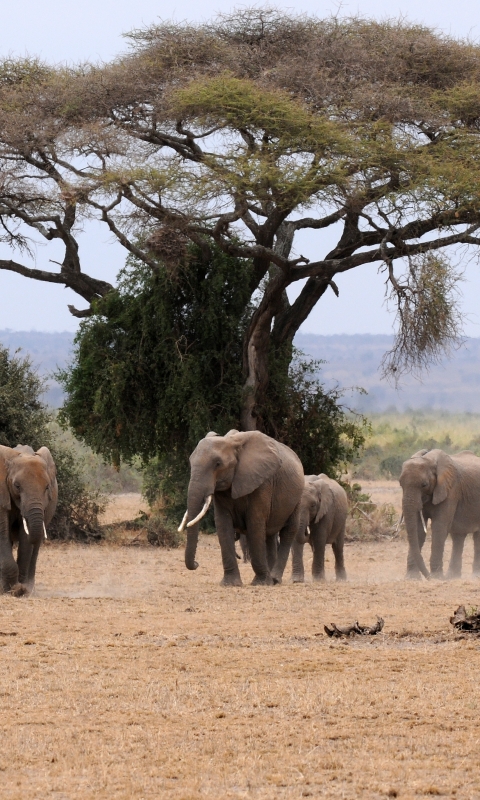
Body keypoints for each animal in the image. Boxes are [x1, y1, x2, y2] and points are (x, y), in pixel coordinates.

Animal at [0, 444, 58, 592]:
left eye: (47, 487)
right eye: (17, 486)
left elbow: (25, 538)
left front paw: (21, 590)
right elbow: (2, 532)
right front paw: (13, 590)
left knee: (35, 548)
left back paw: (29, 587)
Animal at [180, 432, 304, 588]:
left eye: (218, 464)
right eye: (190, 462)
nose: (196, 564)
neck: (232, 442)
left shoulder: (262, 483)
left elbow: (255, 523)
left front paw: (260, 583)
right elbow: (223, 524)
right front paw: (230, 584)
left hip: (297, 498)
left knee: (288, 531)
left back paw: (274, 579)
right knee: (269, 535)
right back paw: (271, 577)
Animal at [400, 446, 480, 580]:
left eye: (424, 485)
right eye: (400, 483)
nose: (427, 577)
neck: (429, 459)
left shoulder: (451, 489)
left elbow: (439, 527)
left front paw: (436, 578)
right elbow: (418, 529)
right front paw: (412, 578)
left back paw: (474, 577)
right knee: (458, 535)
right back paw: (453, 577)